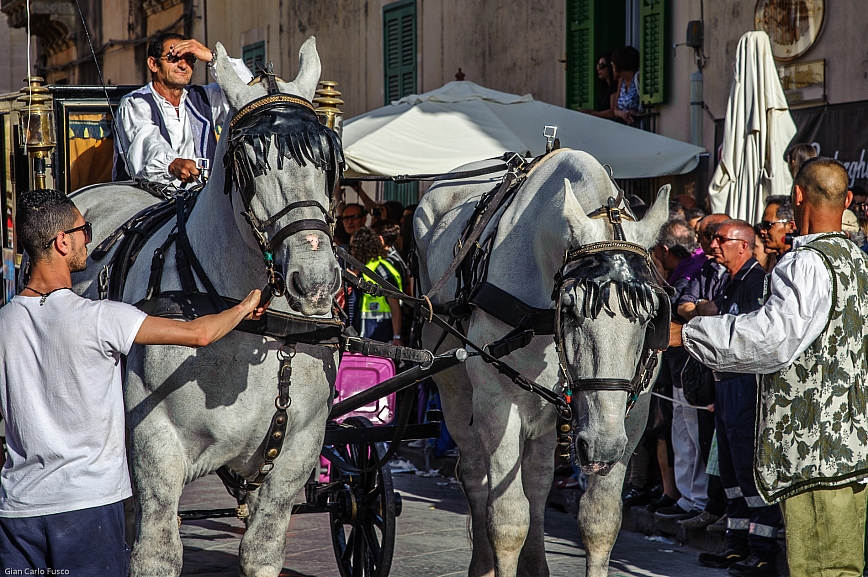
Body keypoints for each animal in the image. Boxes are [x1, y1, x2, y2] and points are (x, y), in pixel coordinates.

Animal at [69, 38, 340, 572]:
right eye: (250, 163)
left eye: (327, 158)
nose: (315, 281)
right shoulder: (155, 446)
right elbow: (156, 553)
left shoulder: (295, 454)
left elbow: (261, 551)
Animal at [414, 150, 672, 576]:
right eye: (569, 310)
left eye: (651, 315)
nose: (602, 447)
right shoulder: (498, 404)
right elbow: (507, 520)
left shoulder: (632, 416)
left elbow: (600, 520)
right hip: (454, 389)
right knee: (475, 475)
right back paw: (481, 562)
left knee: (537, 482)